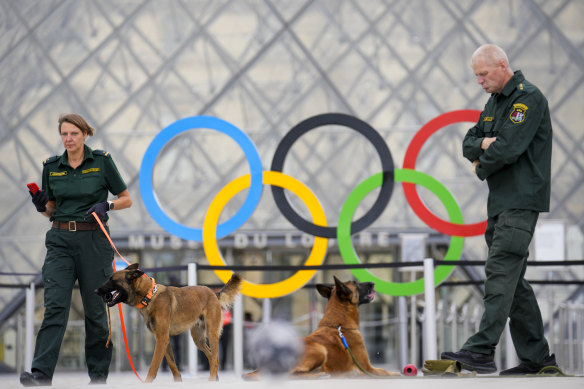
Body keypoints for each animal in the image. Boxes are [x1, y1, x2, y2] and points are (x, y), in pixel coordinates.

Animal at [96, 262, 242, 380]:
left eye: (112, 280)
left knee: (215, 359)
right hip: (198, 339)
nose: (95, 290)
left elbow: (153, 366)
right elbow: (173, 366)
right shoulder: (162, 339)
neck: (149, 295)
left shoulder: (162, 338)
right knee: (211, 357)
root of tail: (213, 293)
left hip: (211, 333)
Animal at [244, 276, 400, 378]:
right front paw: (396, 373)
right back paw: (320, 375)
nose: (373, 282)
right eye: (356, 284)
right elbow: (385, 372)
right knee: (292, 374)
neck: (339, 325)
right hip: (320, 350)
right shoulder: (367, 368)